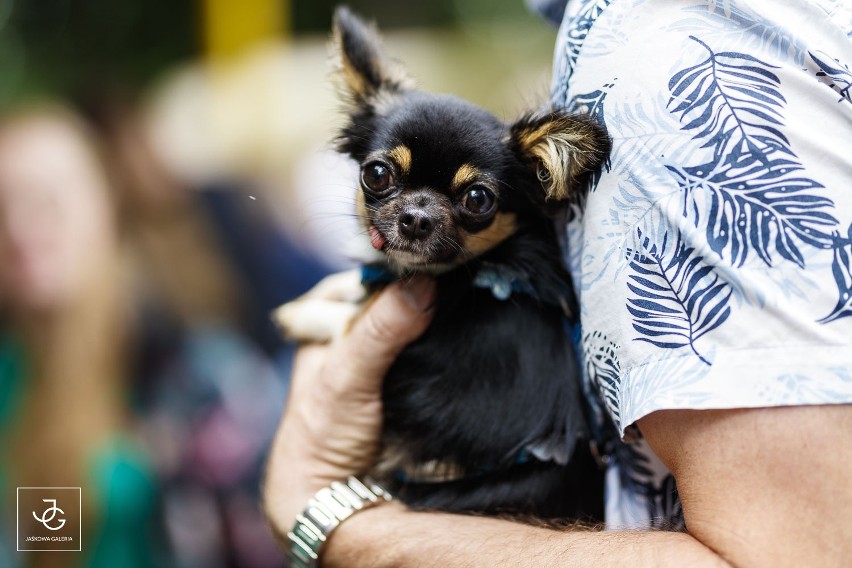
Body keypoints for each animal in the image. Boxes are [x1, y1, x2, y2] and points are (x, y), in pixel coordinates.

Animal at [280, 7, 612, 520]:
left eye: (477, 199)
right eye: (377, 174)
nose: (416, 217)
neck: (476, 274)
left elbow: (350, 319)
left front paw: (302, 312)